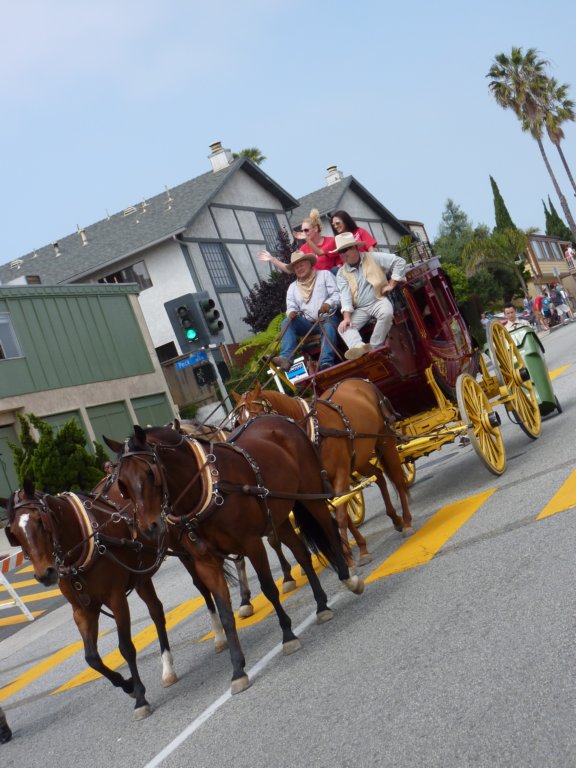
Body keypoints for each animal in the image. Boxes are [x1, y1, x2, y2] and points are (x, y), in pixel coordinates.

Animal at [1, 480, 177, 720]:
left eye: (40, 521)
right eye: (14, 533)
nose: (44, 574)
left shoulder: (116, 598)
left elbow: (125, 647)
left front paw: (140, 697)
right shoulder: (82, 610)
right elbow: (91, 658)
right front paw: (128, 685)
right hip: (141, 577)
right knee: (156, 611)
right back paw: (168, 669)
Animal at [109, 416, 364, 661]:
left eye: (149, 473)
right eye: (122, 484)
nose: (148, 527)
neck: (206, 488)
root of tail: (281, 419)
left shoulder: (251, 543)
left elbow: (269, 588)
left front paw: (288, 635)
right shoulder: (205, 562)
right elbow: (224, 612)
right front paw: (237, 666)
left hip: (310, 494)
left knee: (330, 529)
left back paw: (349, 577)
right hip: (279, 516)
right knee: (301, 553)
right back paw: (321, 605)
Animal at [232, 378, 413, 566]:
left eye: (258, 415)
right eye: (239, 421)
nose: (245, 452)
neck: (312, 431)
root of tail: (359, 380)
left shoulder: (341, 472)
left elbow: (341, 514)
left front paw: (351, 555)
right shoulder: (321, 484)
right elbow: (342, 513)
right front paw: (356, 549)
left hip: (385, 439)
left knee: (397, 477)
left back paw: (407, 521)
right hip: (360, 456)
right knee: (379, 475)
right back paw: (395, 518)